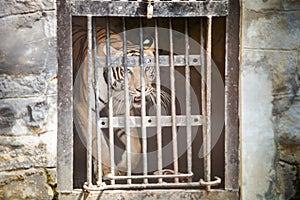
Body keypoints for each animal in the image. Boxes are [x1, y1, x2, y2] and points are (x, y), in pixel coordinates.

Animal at [72, 24, 170, 177]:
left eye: (147, 68)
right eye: (128, 70)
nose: (142, 89)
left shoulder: (121, 111)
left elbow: (136, 143)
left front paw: (125, 167)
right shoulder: (83, 108)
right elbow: (99, 143)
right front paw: (107, 171)